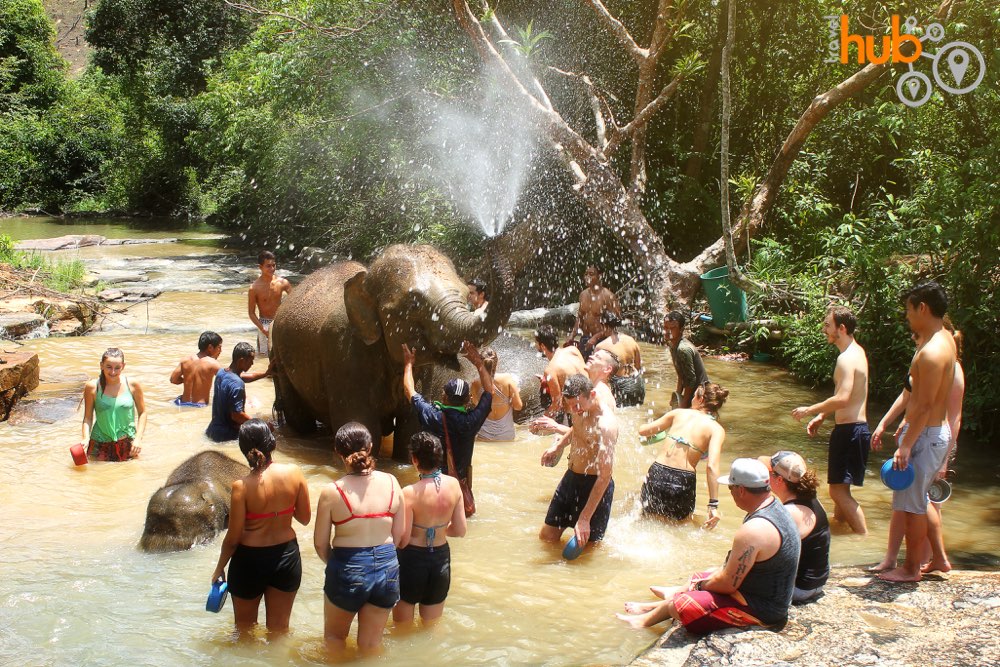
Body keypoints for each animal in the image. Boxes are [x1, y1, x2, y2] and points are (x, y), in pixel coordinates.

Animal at [270, 244, 512, 460]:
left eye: (465, 295)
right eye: (414, 305)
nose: (492, 239)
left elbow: (411, 429)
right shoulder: (343, 353)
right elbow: (363, 425)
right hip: (280, 354)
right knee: (299, 418)